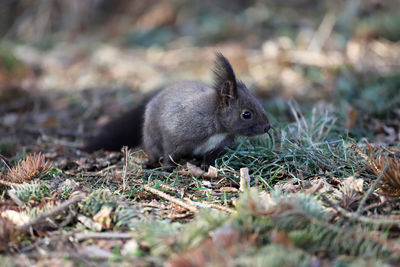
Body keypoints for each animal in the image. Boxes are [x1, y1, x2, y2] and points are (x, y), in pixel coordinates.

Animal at [85, 52, 270, 171]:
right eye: (246, 114)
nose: (267, 127)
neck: (218, 127)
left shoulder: (219, 146)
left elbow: (211, 156)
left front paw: (206, 165)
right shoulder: (175, 134)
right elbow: (170, 153)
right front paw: (168, 168)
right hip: (152, 137)